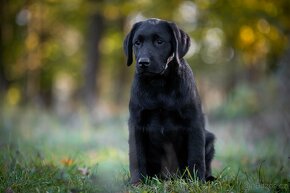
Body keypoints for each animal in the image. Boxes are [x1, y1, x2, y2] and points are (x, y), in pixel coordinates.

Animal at [123, 18, 215, 184]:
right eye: (137, 43)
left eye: (160, 41)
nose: (143, 62)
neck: (158, 84)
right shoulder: (136, 122)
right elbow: (137, 156)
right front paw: (137, 182)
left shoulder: (194, 121)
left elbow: (196, 156)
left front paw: (196, 182)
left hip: (210, 139)